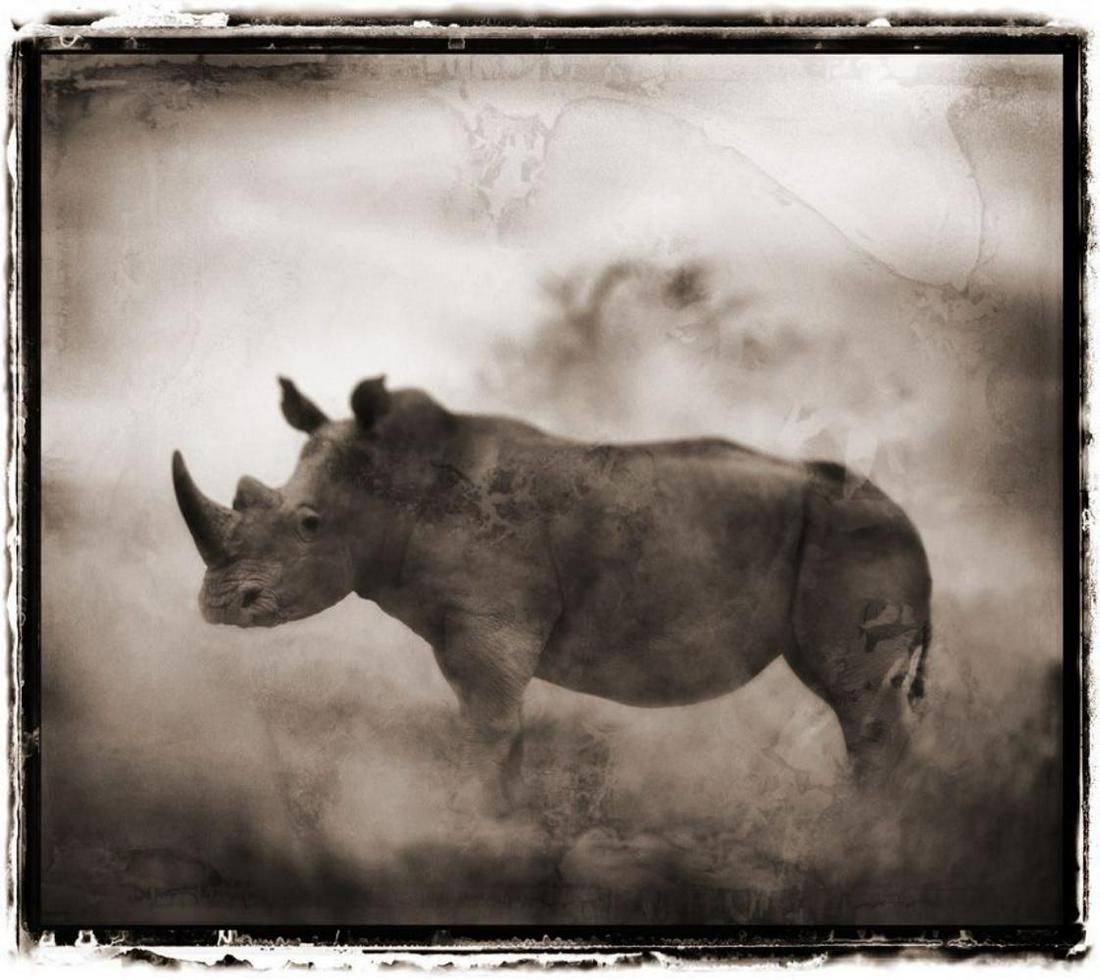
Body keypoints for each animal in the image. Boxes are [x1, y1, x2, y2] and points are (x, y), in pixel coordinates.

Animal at [173, 376, 932, 810]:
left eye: (309, 525)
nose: (219, 605)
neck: (394, 483)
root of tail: (908, 517)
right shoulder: (466, 626)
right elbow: (499, 726)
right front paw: (507, 823)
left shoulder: (489, 616)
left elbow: (487, 724)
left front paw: (467, 822)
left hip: (856, 535)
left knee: (859, 705)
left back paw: (857, 840)